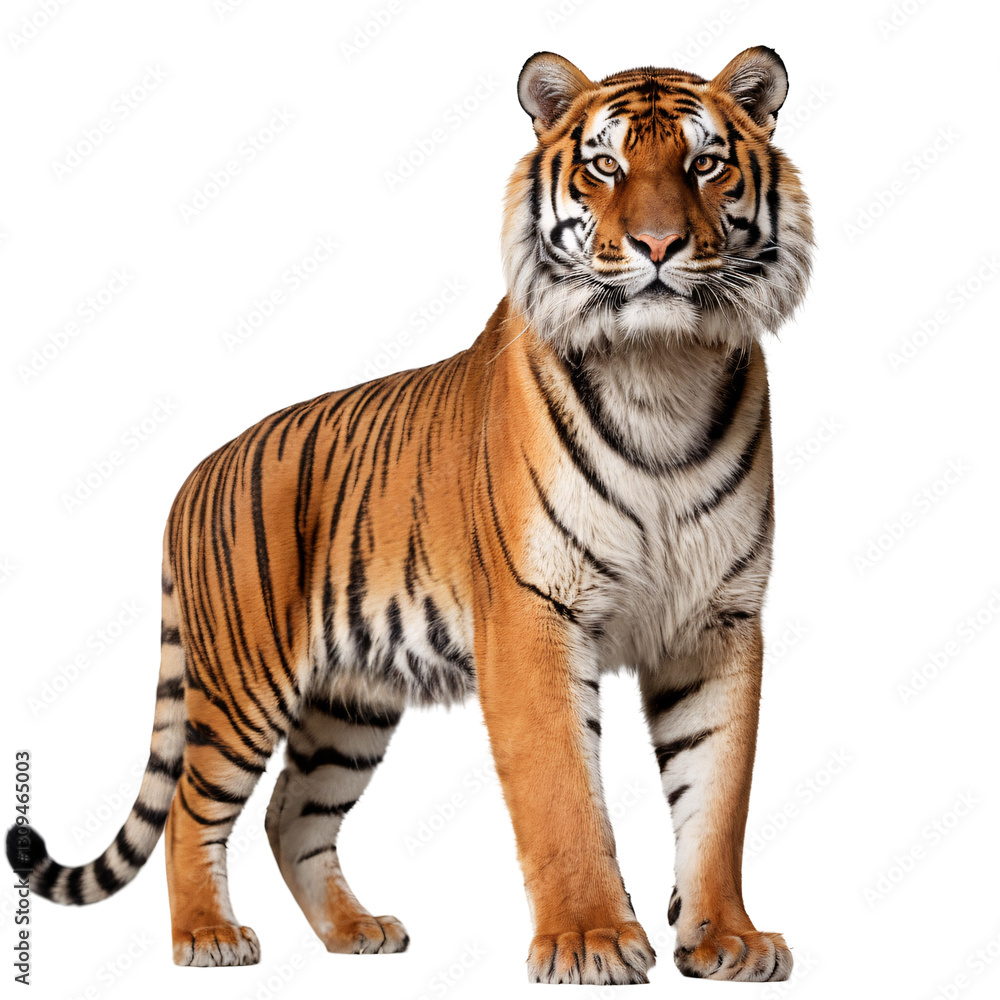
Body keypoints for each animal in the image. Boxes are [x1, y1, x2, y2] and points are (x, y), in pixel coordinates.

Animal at [6, 46, 812, 985]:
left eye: (705, 164)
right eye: (606, 166)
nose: (657, 246)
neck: (661, 369)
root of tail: (193, 474)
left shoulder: (718, 622)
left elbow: (717, 799)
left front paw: (726, 940)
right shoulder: (533, 618)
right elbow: (563, 798)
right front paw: (591, 941)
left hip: (347, 707)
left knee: (292, 815)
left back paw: (356, 931)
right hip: (242, 683)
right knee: (189, 810)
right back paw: (207, 937)